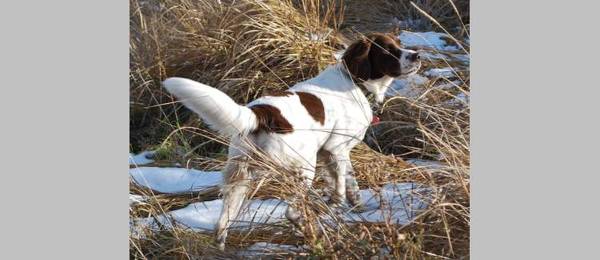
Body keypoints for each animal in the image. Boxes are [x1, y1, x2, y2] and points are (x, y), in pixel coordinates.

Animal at [162, 33, 420, 250]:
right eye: (388, 50)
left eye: (399, 43)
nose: (417, 55)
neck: (355, 82)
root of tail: (261, 113)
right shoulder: (336, 149)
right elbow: (341, 184)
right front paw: (338, 206)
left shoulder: (329, 153)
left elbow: (349, 183)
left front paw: (356, 207)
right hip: (303, 167)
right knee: (291, 212)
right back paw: (310, 231)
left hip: (240, 177)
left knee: (222, 224)